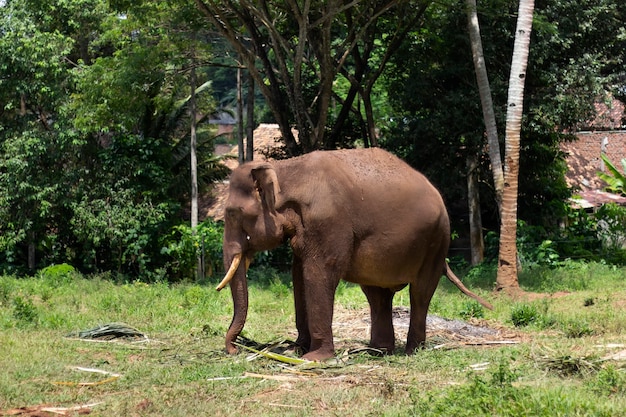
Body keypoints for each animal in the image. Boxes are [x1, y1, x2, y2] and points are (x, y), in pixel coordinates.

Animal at [217, 147, 490, 360]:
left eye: (232, 213)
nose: (235, 350)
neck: (285, 170)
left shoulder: (328, 222)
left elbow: (318, 274)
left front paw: (313, 358)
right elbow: (299, 276)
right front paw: (296, 350)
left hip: (437, 241)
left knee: (420, 293)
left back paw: (412, 351)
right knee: (377, 295)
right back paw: (377, 352)